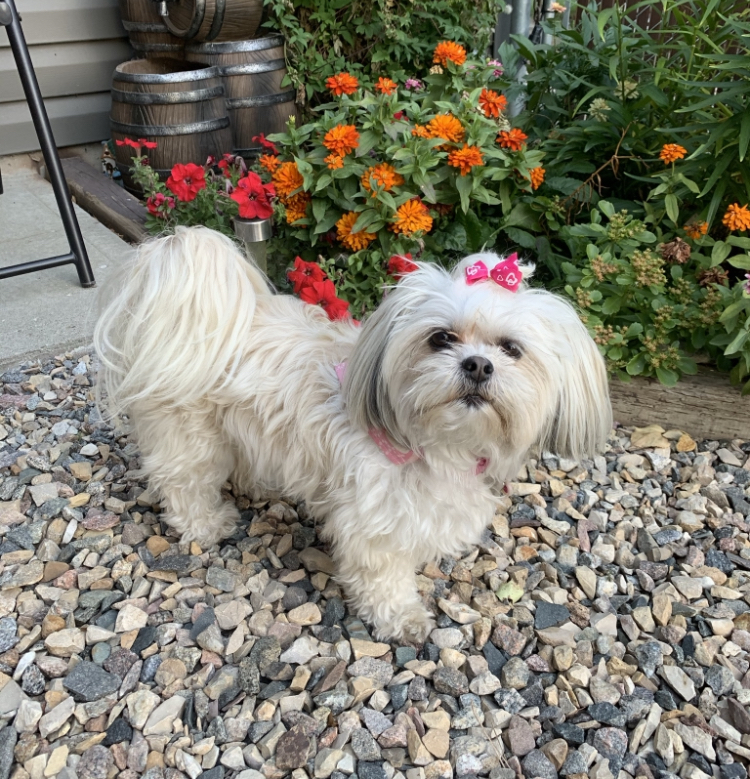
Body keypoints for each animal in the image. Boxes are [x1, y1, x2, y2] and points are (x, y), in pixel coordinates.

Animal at [94, 226, 611, 643]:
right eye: (441, 338)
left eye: (511, 349)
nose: (479, 365)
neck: (440, 444)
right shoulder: (375, 521)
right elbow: (383, 576)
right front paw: (403, 618)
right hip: (190, 436)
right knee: (183, 483)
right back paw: (206, 523)